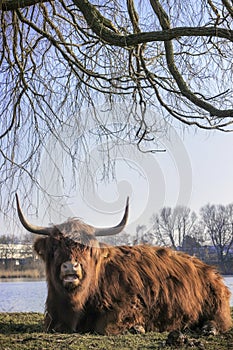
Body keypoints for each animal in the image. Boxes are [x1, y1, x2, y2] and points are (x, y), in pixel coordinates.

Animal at [15, 196, 232, 334]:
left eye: (87, 248)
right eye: (55, 246)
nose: (71, 266)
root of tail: (209, 268)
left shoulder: (129, 304)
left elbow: (105, 326)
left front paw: (137, 327)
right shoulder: (52, 318)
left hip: (216, 304)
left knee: (221, 320)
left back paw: (209, 329)